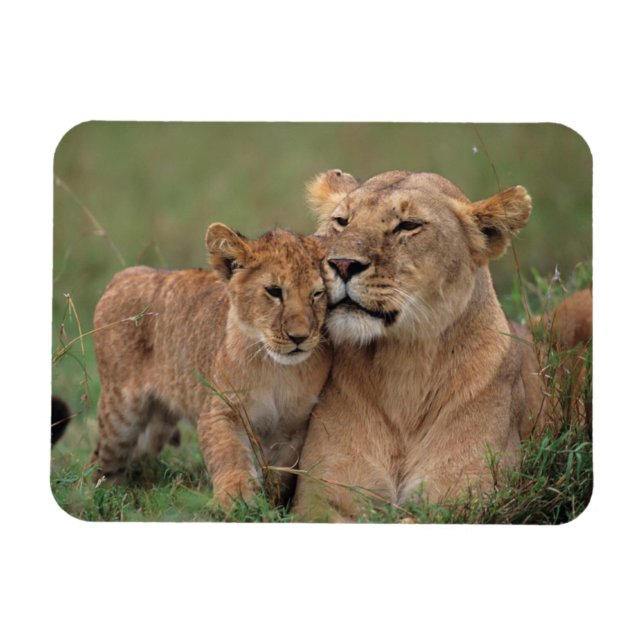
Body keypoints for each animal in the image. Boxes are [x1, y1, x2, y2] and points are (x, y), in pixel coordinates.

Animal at [92, 224, 331, 506]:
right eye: (274, 291)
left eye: (317, 294)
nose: (299, 337)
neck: (278, 369)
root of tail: (124, 275)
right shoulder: (221, 408)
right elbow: (229, 453)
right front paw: (236, 497)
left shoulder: (293, 428)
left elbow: (280, 473)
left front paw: (271, 502)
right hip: (120, 413)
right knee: (102, 460)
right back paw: (98, 495)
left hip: (159, 423)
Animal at [293, 169, 592, 521]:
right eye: (342, 221)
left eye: (408, 225)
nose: (341, 264)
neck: (403, 365)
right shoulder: (321, 497)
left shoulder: (466, 495)